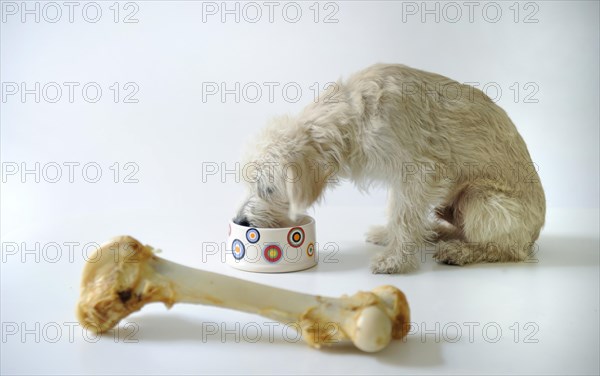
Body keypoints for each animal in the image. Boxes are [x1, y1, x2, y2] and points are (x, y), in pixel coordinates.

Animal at [233, 63, 544, 272]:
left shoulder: (420, 171)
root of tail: (534, 236)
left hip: (479, 197)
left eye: (268, 188)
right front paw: (389, 237)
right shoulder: (401, 179)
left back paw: (461, 251)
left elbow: (404, 215)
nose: (241, 222)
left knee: (507, 249)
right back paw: (437, 233)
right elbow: (398, 211)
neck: (354, 117)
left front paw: (395, 260)